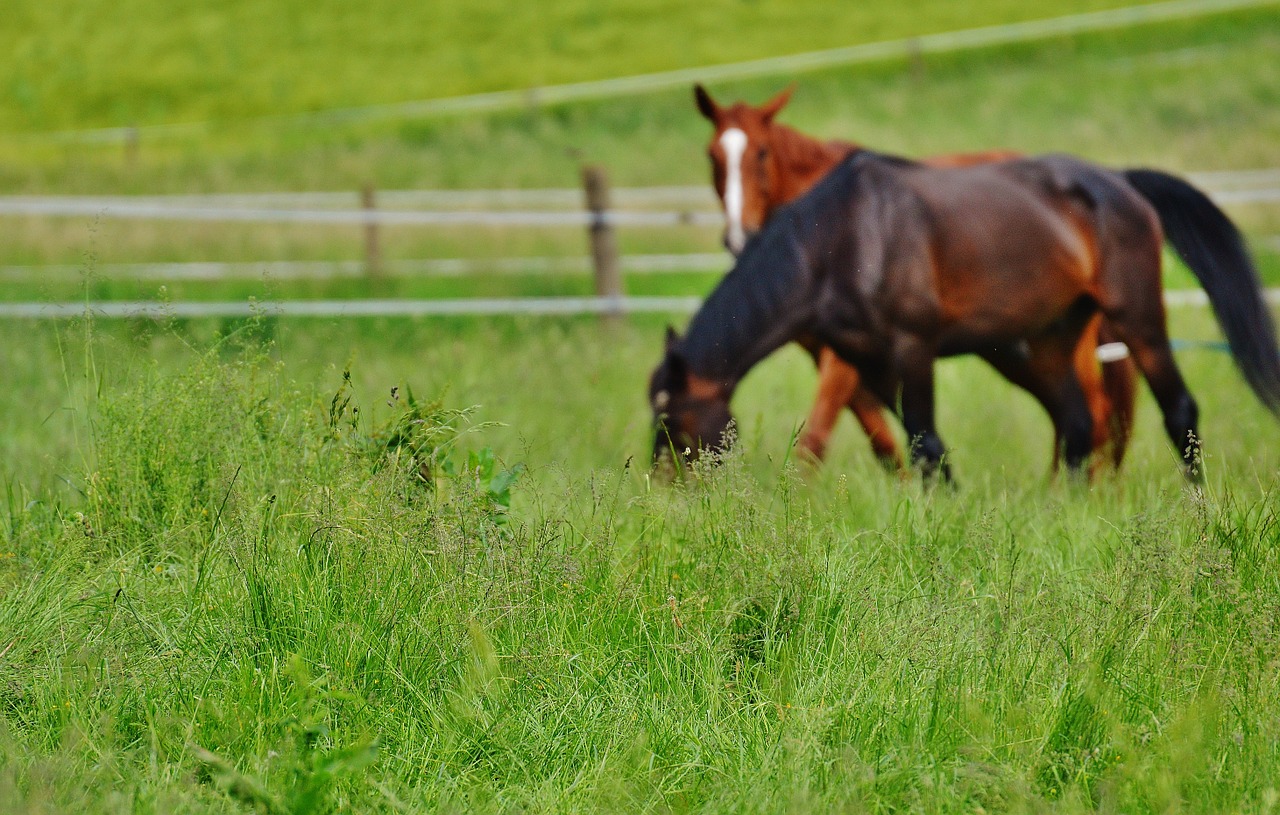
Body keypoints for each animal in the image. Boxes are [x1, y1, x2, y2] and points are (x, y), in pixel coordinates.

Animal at [650, 149, 1280, 481]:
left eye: (674, 419)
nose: (665, 489)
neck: (840, 240)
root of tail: (1120, 182)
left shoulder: (913, 347)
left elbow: (926, 444)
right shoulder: (869, 361)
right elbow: (919, 447)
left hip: (1138, 316)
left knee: (1179, 413)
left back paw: (1199, 512)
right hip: (1049, 337)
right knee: (1078, 426)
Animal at [696, 82, 1136, 470]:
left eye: (762, 152)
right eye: (712, 156)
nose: (738, 236)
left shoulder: (846, 359)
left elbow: (817, 439)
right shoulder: (835, 355)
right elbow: (883, 443)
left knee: (1096, 414)